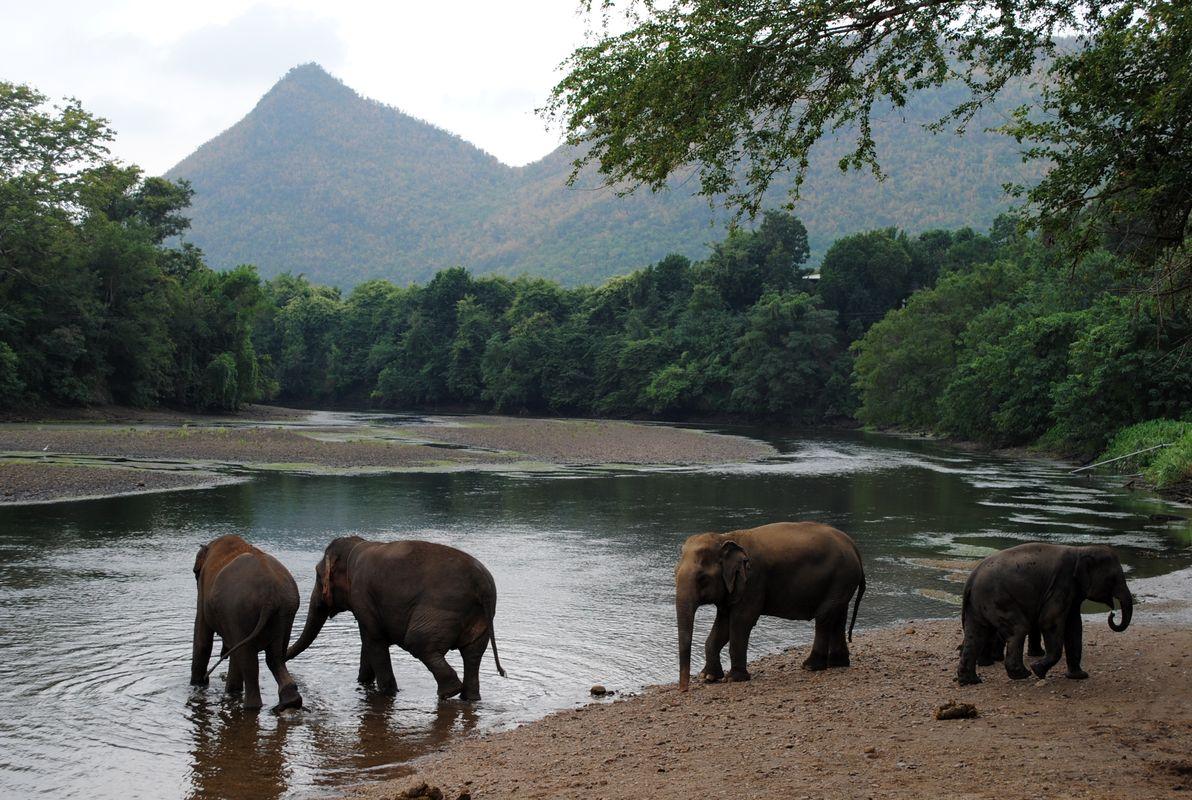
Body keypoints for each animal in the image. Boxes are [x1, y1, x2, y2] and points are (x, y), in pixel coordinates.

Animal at [189, 534, 302, 710]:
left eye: (195, 572)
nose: (205, 680)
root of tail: (270, 595)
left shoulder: (203, 588)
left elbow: (202, 639)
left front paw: (198, 685)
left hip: (240, 611)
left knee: (249, 662)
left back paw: (250, 706)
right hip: (285, 613)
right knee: (275, 657)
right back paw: (289, 702)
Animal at [290, 538, 510, 701]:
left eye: (318, 576)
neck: (356, 547)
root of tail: (482, 583)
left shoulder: (362, 595)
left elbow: (373, 641)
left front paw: (387, 693)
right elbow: (368, 643)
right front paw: (362, 684)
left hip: (442, 609)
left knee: (418, 642)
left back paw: (449, 692)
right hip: (481, 618)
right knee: (472, 654)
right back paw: (469, 698)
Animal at [672, 522, 867, 691]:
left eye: (702, 578)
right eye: (674, 573)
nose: (683, 690)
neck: (727, 537)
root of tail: (854, 546)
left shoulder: (753, 581)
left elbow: (741, 621)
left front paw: (734, 679)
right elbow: (723, 624)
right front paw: (709, 677)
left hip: (841, 577)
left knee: (824, 616)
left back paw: (810, 666)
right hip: (843, 581)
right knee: (838, 615)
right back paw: (837, 663)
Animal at [953, 541, 1130, 686]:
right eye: (1113, 578)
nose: (1112, 614)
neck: (1080, 550)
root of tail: (971, 579)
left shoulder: (1071, 591)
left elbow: (1074, 626)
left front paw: (1079, 676)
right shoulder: (1061, 584)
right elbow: (1049, 622)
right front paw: (1038, 670)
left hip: (979, 604)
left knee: (976, 635)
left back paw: (971, 681)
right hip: (998, 599)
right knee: (1018, 628)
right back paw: (1022, 674)